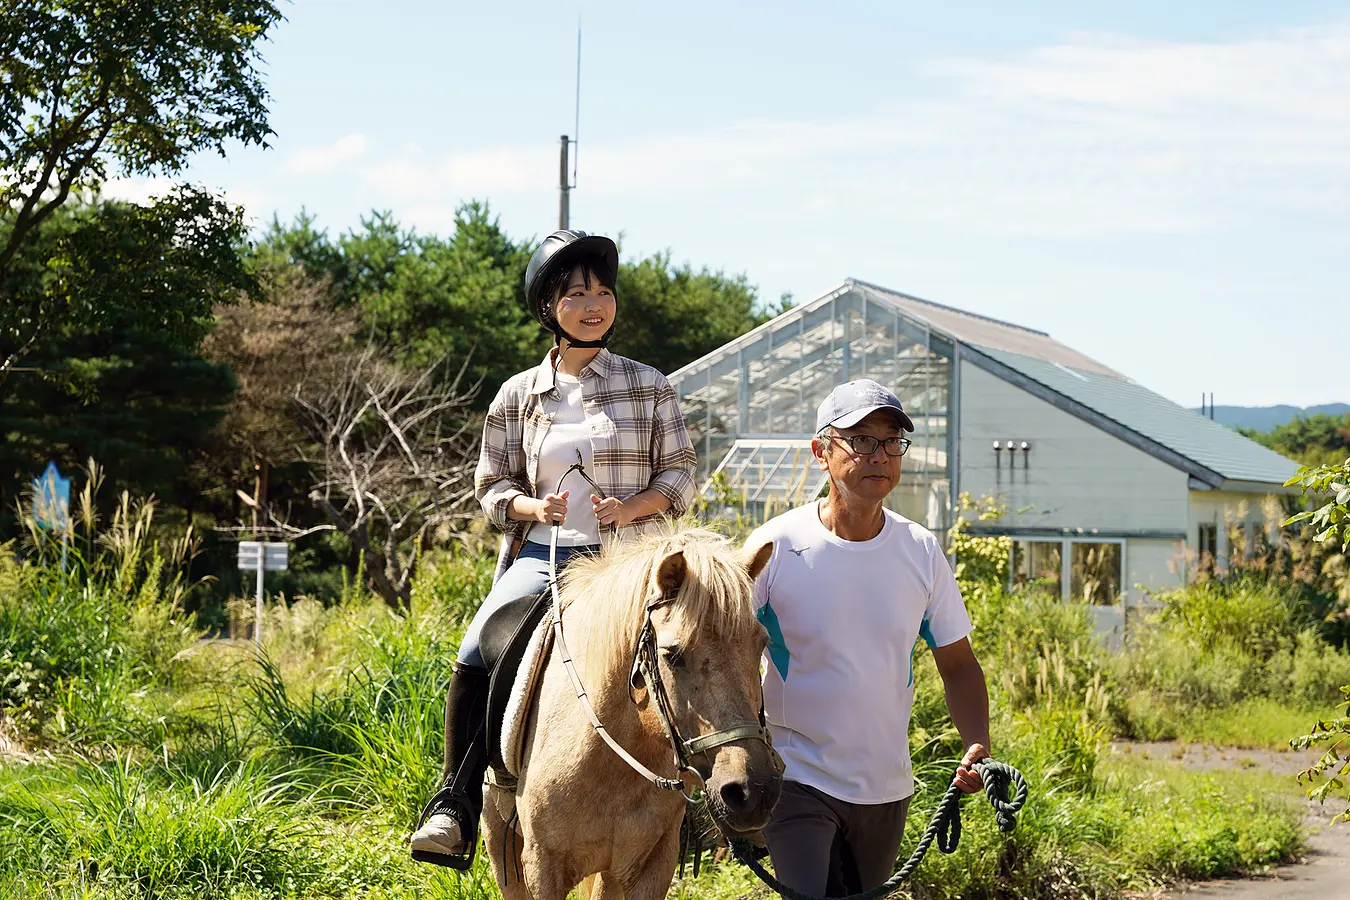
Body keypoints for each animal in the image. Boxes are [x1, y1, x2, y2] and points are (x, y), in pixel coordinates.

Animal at [483, 528, 783, 900]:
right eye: (672, 654)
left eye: (761, 643)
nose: (754, 792)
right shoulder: (541, 865)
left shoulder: (653, 865)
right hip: (500, 842)